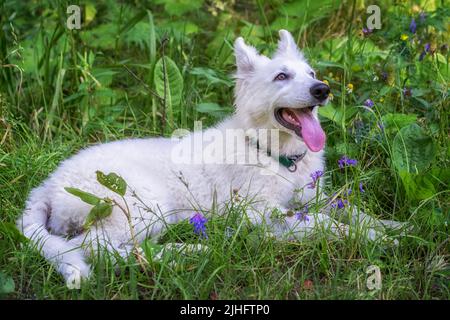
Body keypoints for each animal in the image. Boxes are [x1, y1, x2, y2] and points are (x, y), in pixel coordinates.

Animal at [16, 30, 398, 288]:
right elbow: (323, 223)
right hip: (143, 206)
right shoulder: (262, 212)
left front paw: (391, 226)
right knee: (97, 248)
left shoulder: (312, 195)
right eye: (281, 76)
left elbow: (350, 209)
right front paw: (376, 238)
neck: (270, 152)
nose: (323, 90)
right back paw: (186, 252)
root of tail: (49, 184)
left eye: (312, 74)